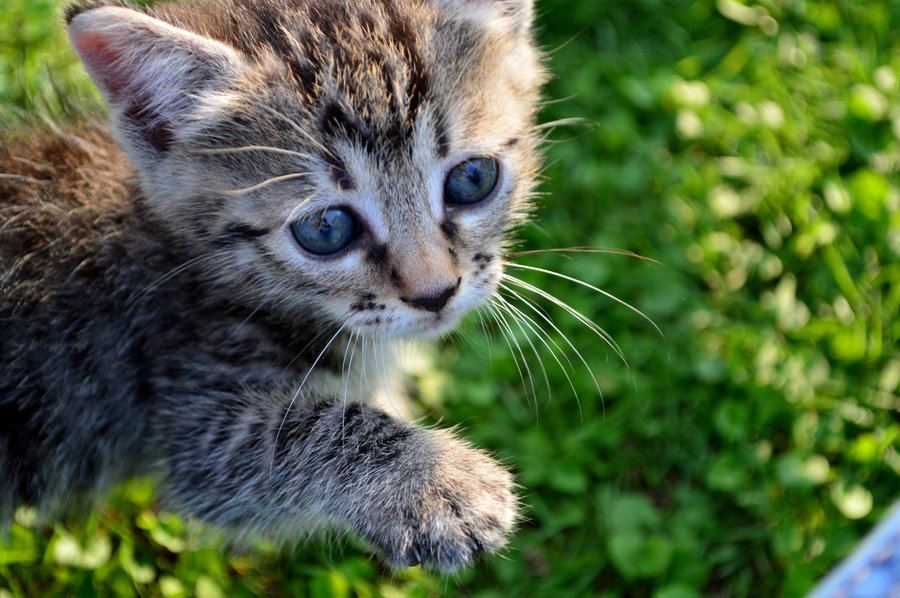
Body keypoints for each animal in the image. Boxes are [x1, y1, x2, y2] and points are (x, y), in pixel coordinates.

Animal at [0, 0, 544, 576]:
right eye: (325, 228)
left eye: (472, 178)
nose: (435, 293)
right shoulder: (187, 396)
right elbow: (291, 438)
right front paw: (436, 482)